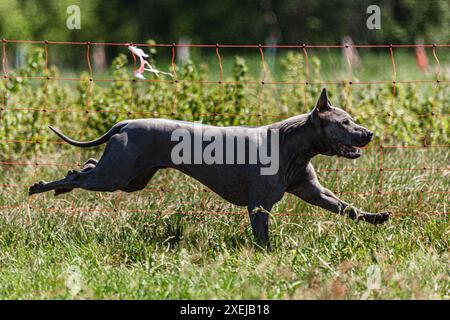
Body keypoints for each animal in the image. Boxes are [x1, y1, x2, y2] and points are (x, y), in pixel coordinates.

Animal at [29, 89, 390, 246]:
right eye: (344, 122)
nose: (369, 133)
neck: (293, 144)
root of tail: (126, 123)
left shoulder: (314, 191)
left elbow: (346, 207)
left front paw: (376, 217)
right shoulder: (258, 204)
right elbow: (263, 236)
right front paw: (267, 255)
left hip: (130, 178)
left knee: (87, 166)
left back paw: (60, 185)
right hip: (116, 175)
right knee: (80, 175)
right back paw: (43, 186)